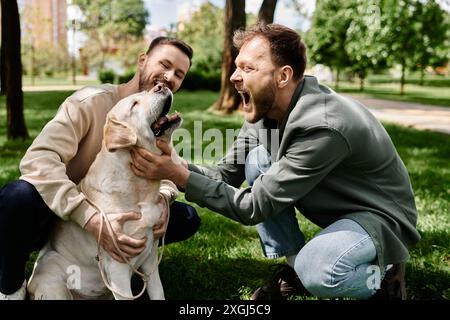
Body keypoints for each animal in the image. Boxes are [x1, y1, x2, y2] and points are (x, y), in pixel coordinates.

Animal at [26, 85, 179, 300]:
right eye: (134, 104)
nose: (161, 86)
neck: (138, 186)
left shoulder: (150, 261)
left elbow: (158, 293)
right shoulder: (118, 268)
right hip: (54, 280)